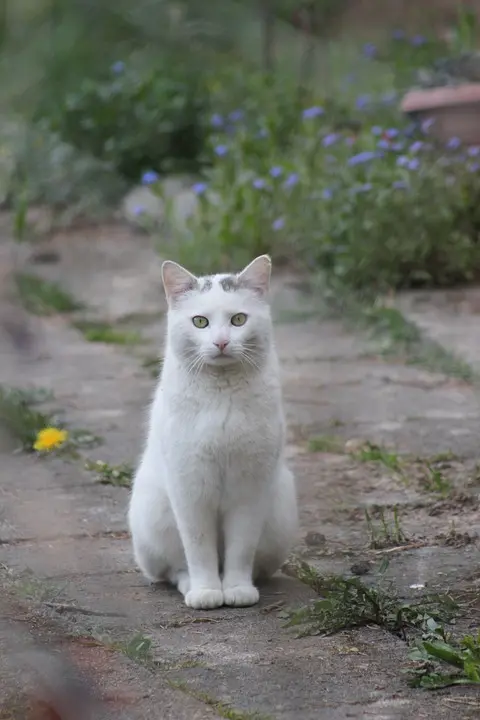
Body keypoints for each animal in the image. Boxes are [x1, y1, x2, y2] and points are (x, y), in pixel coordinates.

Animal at [129, 253, 298, 608]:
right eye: (200, 322)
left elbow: (241, 549)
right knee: (174, 569)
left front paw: (237, 590)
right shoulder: (190, 488)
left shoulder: (250, 489)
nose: (221, 342)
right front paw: (207, 591)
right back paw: (192, 587)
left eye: (238, 319)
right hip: (154, 515)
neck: (222, 392)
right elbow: (199, 549)